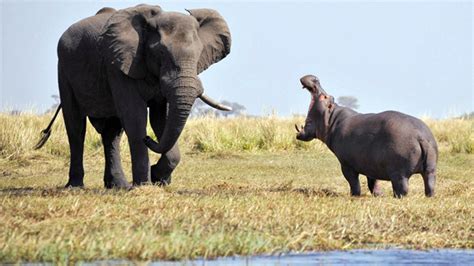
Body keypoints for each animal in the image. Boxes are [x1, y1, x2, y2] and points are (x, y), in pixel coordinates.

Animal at [34, 3, 232, 188]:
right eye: (161, 53)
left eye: (199, 54)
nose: (148, 138)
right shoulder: (118, 64)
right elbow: (135, 117)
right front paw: (144, 185)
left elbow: (161, 120)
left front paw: (158, 178)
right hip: (64, 69)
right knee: (76, 126)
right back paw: (76, 187)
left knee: (112, 132)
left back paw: (118, 186)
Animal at [296, 75, 436, 197]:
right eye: (331, 97)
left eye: (325, 97)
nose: (315, 78)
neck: (332, 119)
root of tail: (421, 136)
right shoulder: (371, 164)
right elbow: (373, 182)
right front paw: (379, 195)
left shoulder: (346, 164)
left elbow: (353, 182)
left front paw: (354, 195)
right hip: (431, 169)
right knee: (430, 184)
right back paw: (429, 196)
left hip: (399, 173)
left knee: (402, 188)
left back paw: (397, 197)